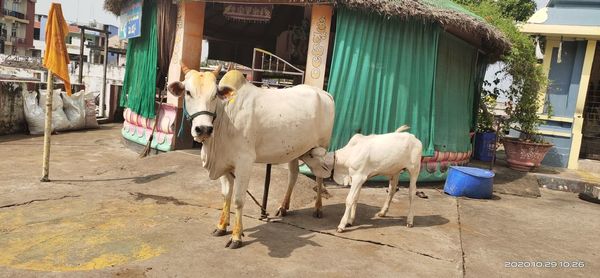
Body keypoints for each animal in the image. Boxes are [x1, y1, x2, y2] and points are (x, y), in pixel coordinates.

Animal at [168, 64, 338, 248]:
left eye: (214, 95)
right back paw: (283, 207)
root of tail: (324, 93)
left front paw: (236, 236)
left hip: (322, 145)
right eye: (188, 92)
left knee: (319, 176)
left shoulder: (244, 162)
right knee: (293, 174)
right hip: (296, 149)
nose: (204, 129)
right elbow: (226, 196)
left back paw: (318, 208)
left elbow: (238, 199)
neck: (225, 117)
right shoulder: (225, 164)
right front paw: (221, 226)